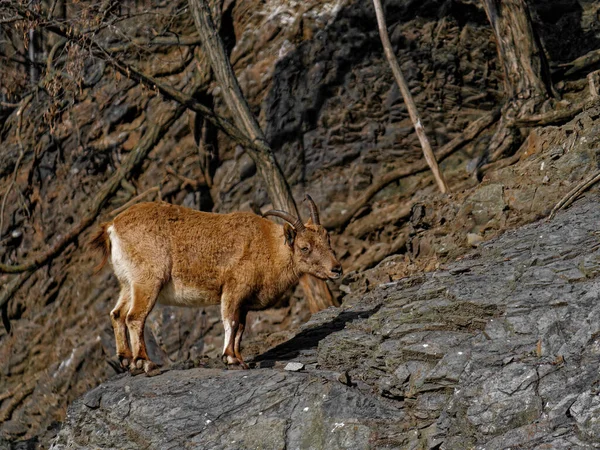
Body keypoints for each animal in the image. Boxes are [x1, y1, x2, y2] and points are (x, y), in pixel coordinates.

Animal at [89, 195, 342, 370]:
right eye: (304, 247)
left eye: (327, 239)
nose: (336, 269)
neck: (268, 246)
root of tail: (112, 227)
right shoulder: (234, 288)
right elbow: (230, 321)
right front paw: (230, 359)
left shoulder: (245, 303)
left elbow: (241, 327)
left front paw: (240, 359)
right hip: (148, 280)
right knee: (134, 317)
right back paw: (145, 363)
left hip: (127, 283)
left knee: (117, 314)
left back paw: (125, 359)